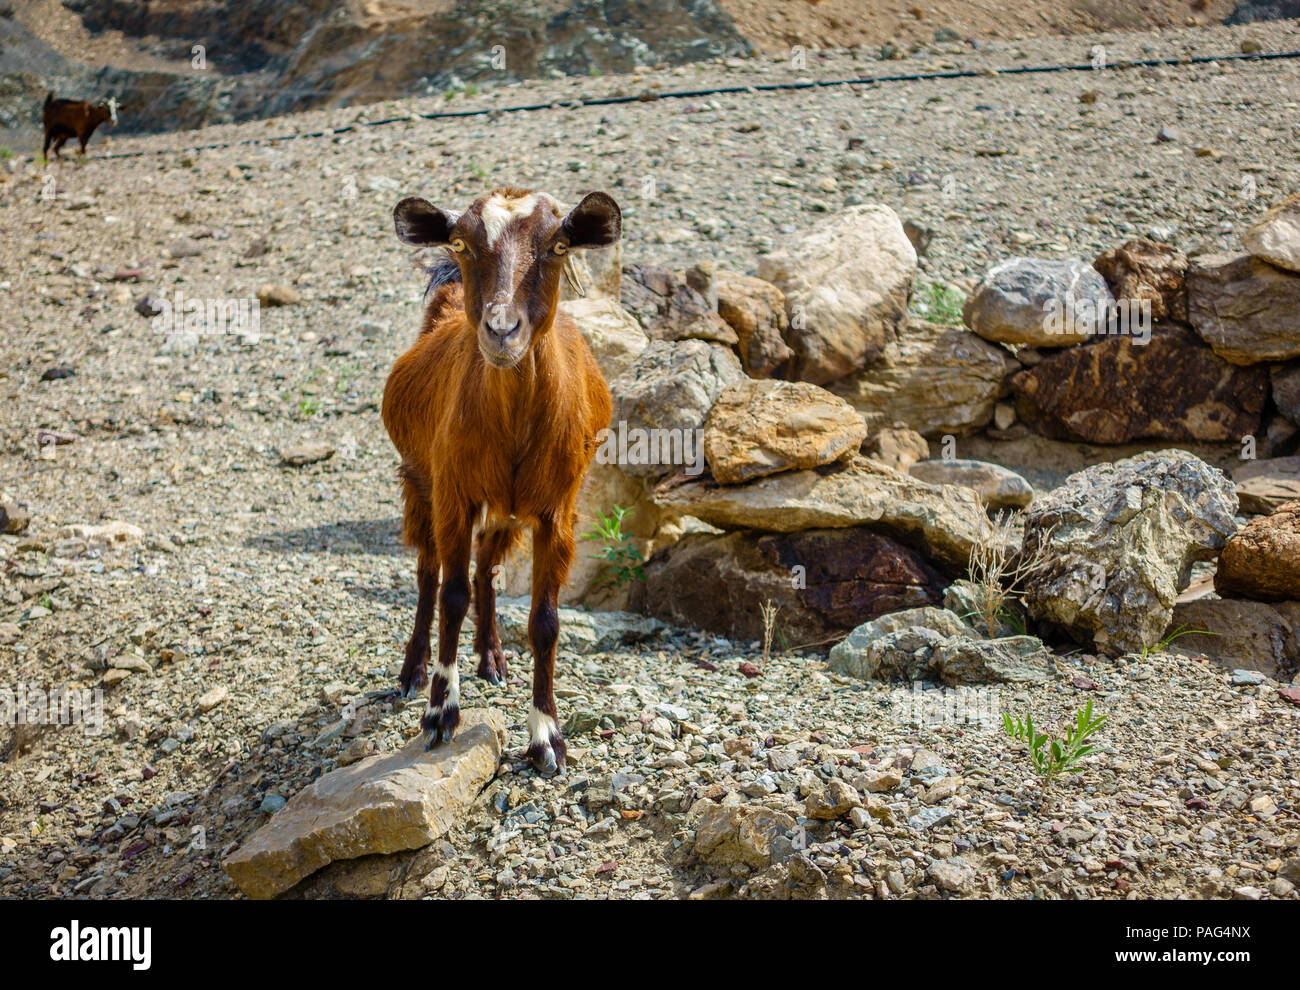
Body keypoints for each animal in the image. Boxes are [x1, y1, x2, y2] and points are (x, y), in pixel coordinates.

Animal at [379, 184, 618, 769]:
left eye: (558, 246)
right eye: (461, 243)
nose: (502, 330)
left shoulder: (557, 510)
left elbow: (544, 620)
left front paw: (546, 737)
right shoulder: (454, 495)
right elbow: (451, 596)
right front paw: (440, 714)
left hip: (505, 513)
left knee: (487, 570)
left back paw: (491, 658)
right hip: (419, 484)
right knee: (428, 574)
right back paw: (413, 671)